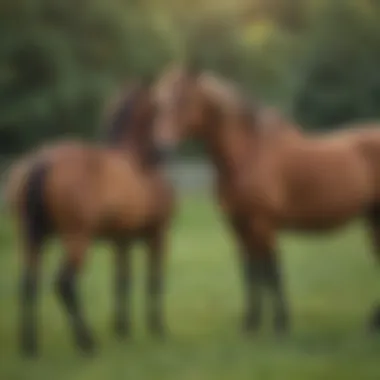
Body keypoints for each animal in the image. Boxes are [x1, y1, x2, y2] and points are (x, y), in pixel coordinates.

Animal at [5, 81, 175, 354]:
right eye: (160, 108)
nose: (165, 150)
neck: (138, 159)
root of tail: (41, 162)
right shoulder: (158, 234)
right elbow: (154, 280)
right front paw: (157, 329)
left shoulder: (122, 241)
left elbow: (122, 281)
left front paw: (123, 330)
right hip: (76, 239)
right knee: (64, 283)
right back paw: (86, 342)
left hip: (30, 238)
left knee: (28, 283)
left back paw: (30, 345)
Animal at [151, 66, 380, 336]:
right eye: (159, 103)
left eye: (184, 100)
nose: (160, 149)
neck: (248, 153)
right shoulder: (239, 226)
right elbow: (251, 272)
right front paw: (251, 323)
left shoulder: (263, 224)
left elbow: (272, 271)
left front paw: (281, 324)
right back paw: (373, 322)